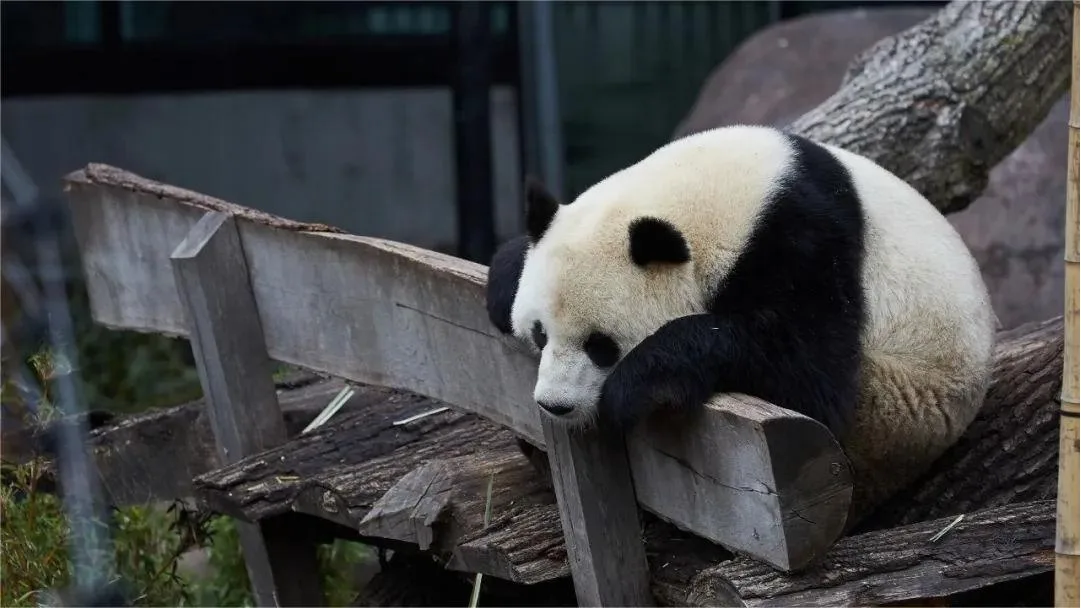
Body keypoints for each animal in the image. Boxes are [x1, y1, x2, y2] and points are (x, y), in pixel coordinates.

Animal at [485, 124, 997, 523]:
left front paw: (636, 385)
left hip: (896, 403)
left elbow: (809, 374)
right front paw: (503, 278)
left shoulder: (804, 237)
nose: (555, 406)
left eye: (601, 346)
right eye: (540, 334)